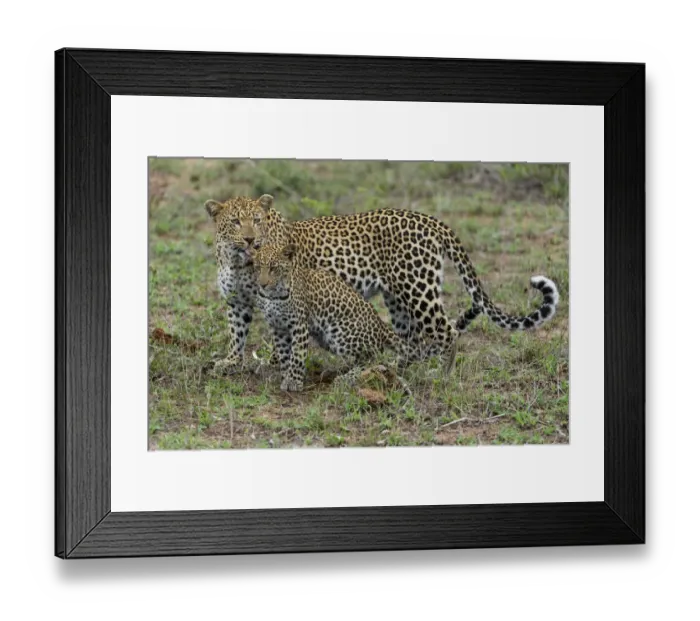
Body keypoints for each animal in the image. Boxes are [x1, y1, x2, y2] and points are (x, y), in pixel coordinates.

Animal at [205, 194, 559, 375]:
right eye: (235, 221)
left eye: (257, 220)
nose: (251, 239)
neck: (236, 259)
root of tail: (430, 220)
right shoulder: (238, 302)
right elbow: (236, 334)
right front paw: (230, 362)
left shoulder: (280, 300)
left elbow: (284, 339)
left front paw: (279, 365)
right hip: (396, 297)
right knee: (408, 338)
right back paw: (393, 368)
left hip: (417, 287)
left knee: (445, 330)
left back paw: (441, 375)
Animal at [252, 241, 420, 392]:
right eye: (258, 268)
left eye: (274, 268)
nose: (262, 284)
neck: (272, 296)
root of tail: (380, 324)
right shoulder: (277, 327)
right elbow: (284, 354)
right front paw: (285, 375)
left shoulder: (298, 325)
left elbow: (297, 355)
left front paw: (293, 381)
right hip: (327, 339)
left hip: (340, 332)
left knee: (374, 358)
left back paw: (347, 378)